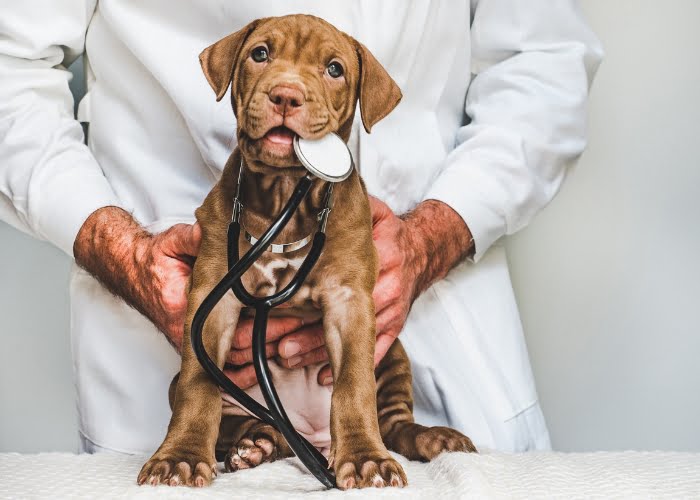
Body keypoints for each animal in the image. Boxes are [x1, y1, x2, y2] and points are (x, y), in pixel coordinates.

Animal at [137, 13, 476, 490]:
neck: (285, 196)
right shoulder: (211, 299)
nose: (286, 95)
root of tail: (310, 438)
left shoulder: (351, 302)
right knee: (244, 422)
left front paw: (366, 459)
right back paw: (254, 442)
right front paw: (179, 457)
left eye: (334, 69)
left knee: (394, 423)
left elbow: (353, 385)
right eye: (260, 54)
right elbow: (197, 385)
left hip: (392, 352)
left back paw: (434, 438)